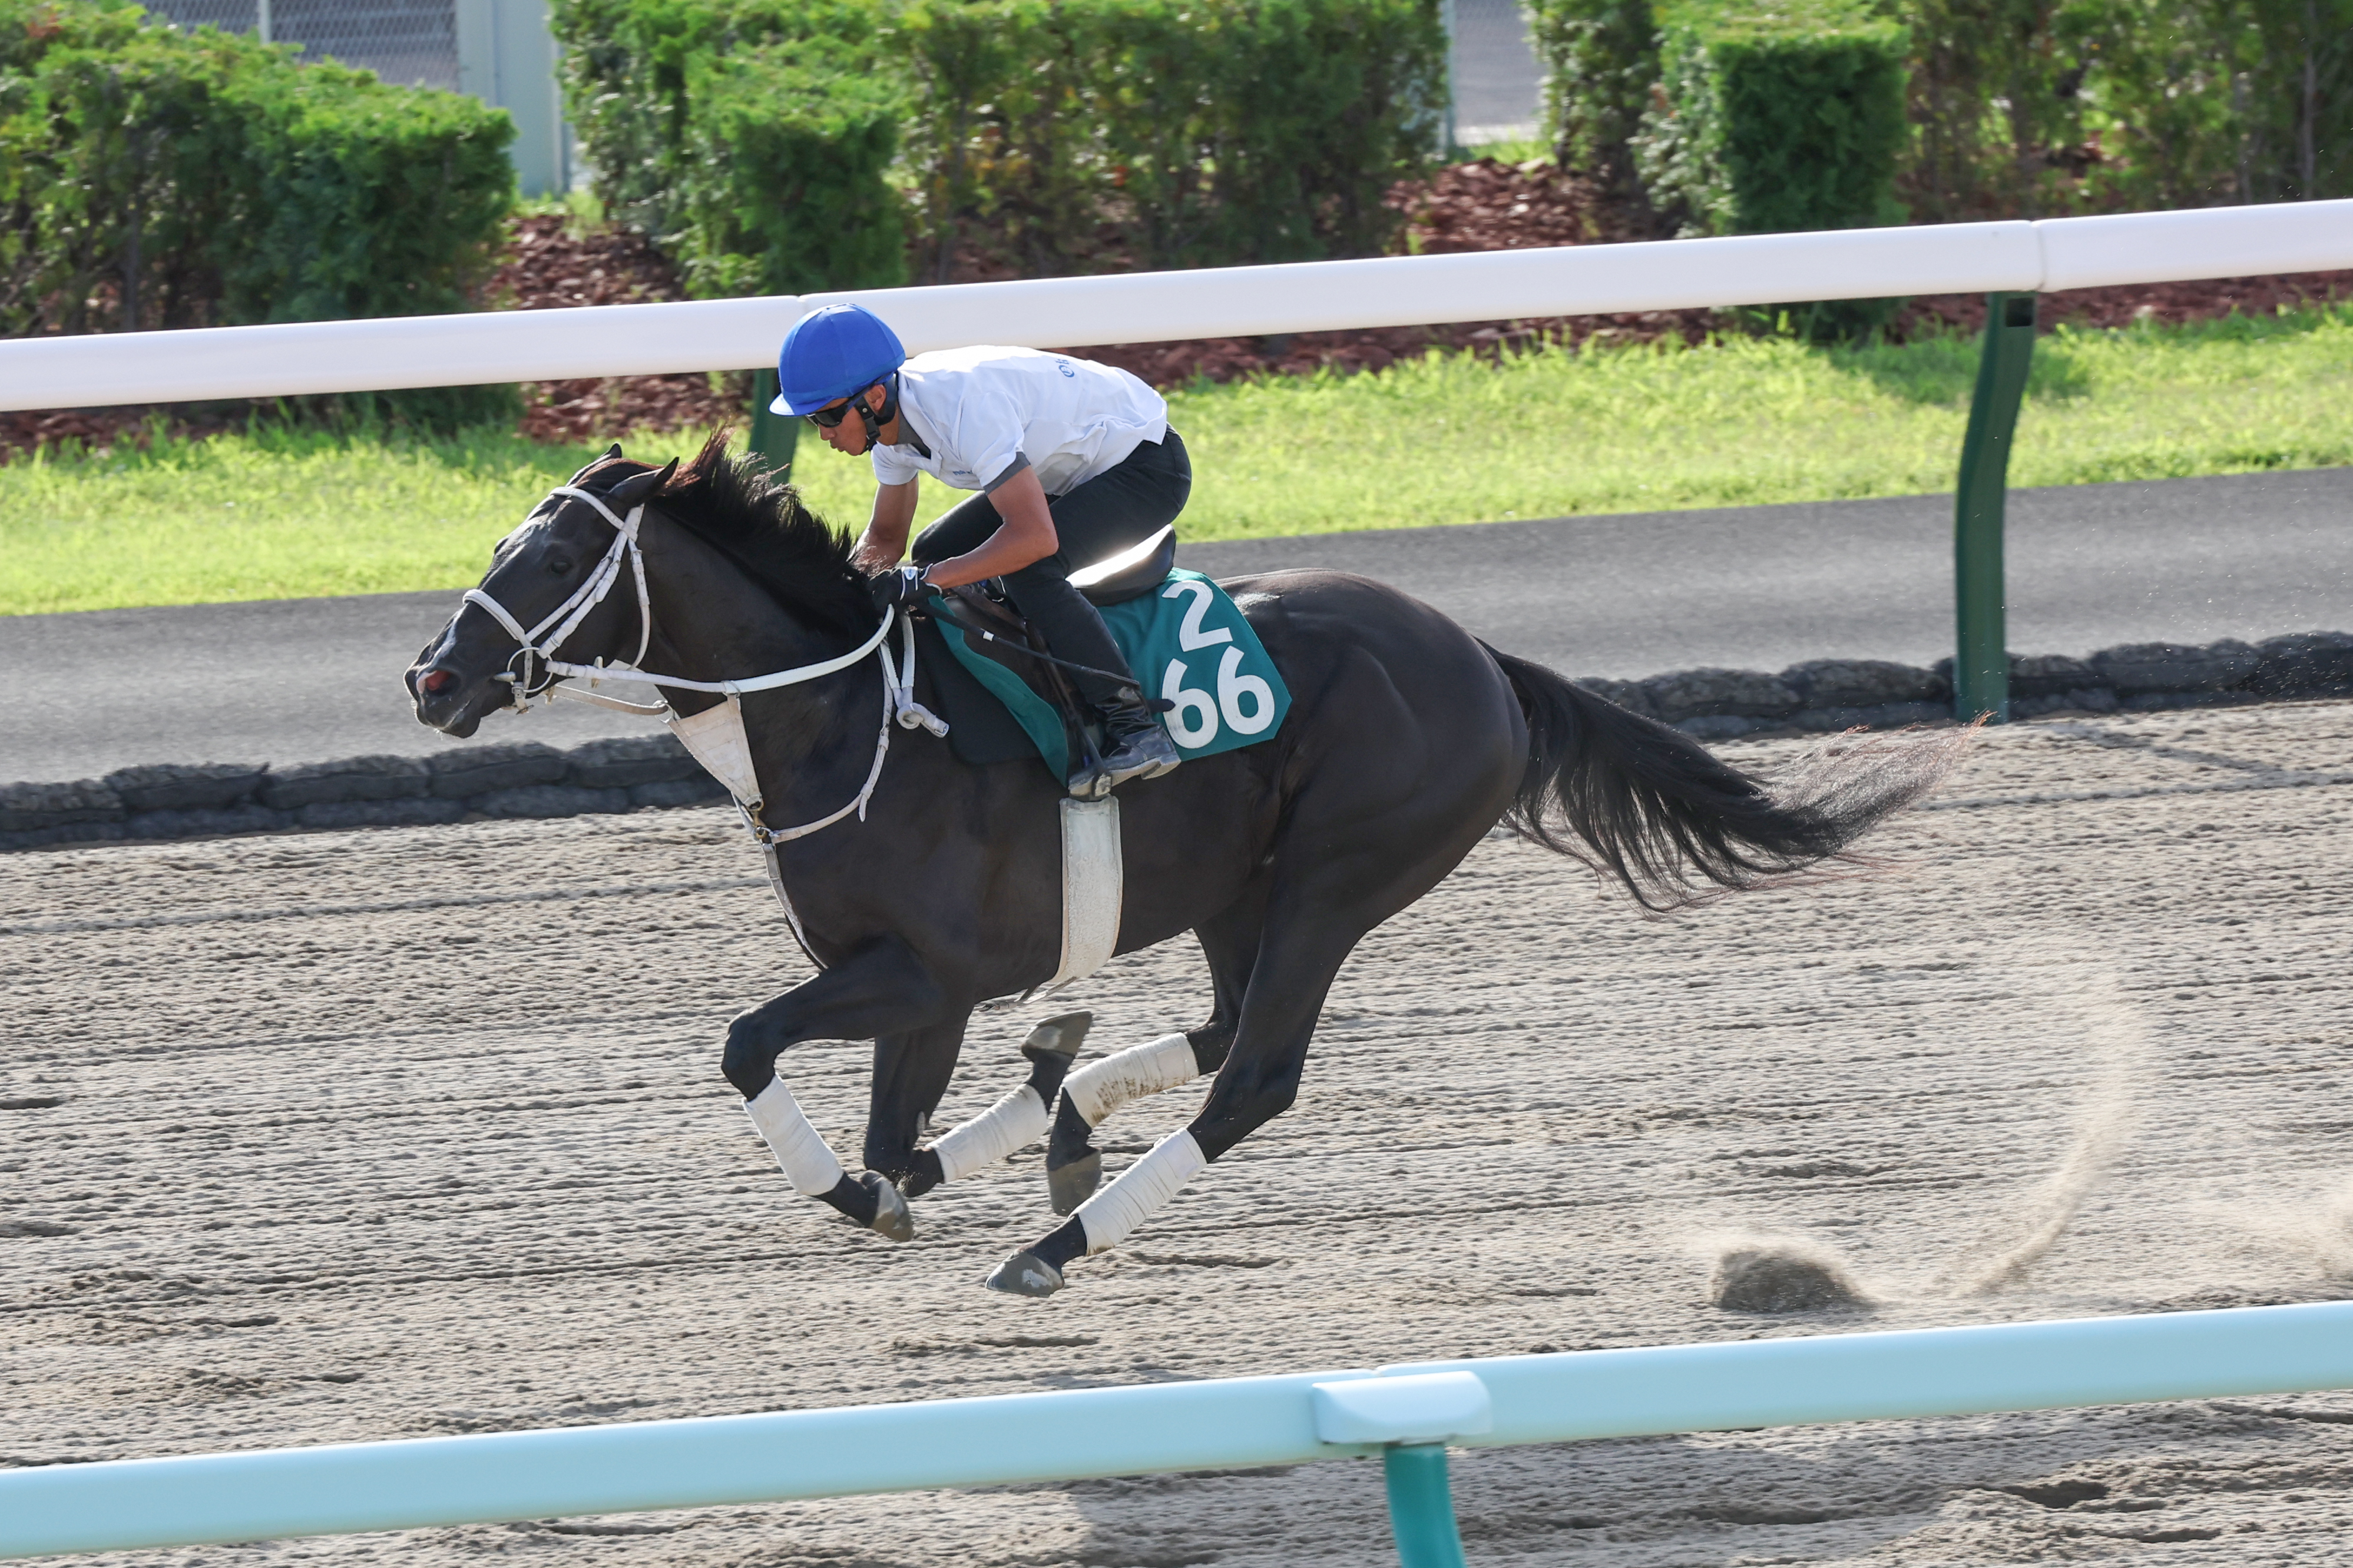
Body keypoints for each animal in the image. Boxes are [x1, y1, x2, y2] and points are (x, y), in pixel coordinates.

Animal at [414, 435, 1957, 1297]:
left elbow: (756, 1054)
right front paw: (954, 1141)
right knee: (1215, 1030)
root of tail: (1478, 657)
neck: (846, 710)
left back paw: (1054, 1246)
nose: (432, 677)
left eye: (546, 558)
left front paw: (869, 1190)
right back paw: (1062, 1124)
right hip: (1238, 885)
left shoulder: (923, 969)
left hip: (1339, 873)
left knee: (1255, 1073)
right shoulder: (919, 986)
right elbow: (890, 1127)